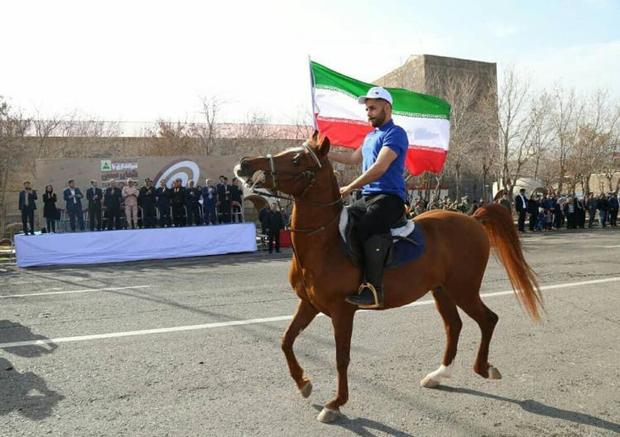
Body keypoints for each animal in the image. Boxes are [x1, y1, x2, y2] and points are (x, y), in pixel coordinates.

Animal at [235, 134, 540, 422]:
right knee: (454, 326)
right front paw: (304, 384)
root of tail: (474, 219)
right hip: (442, 290)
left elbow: (341, 358)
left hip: (463, 289)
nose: (244, 164)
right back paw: (439, 375)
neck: (325, 242)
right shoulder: (309, 304)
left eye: (297, 159)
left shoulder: (342, 311)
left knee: (488, 320)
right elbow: (286, 340)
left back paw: (484, 368)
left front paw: (335, 404)